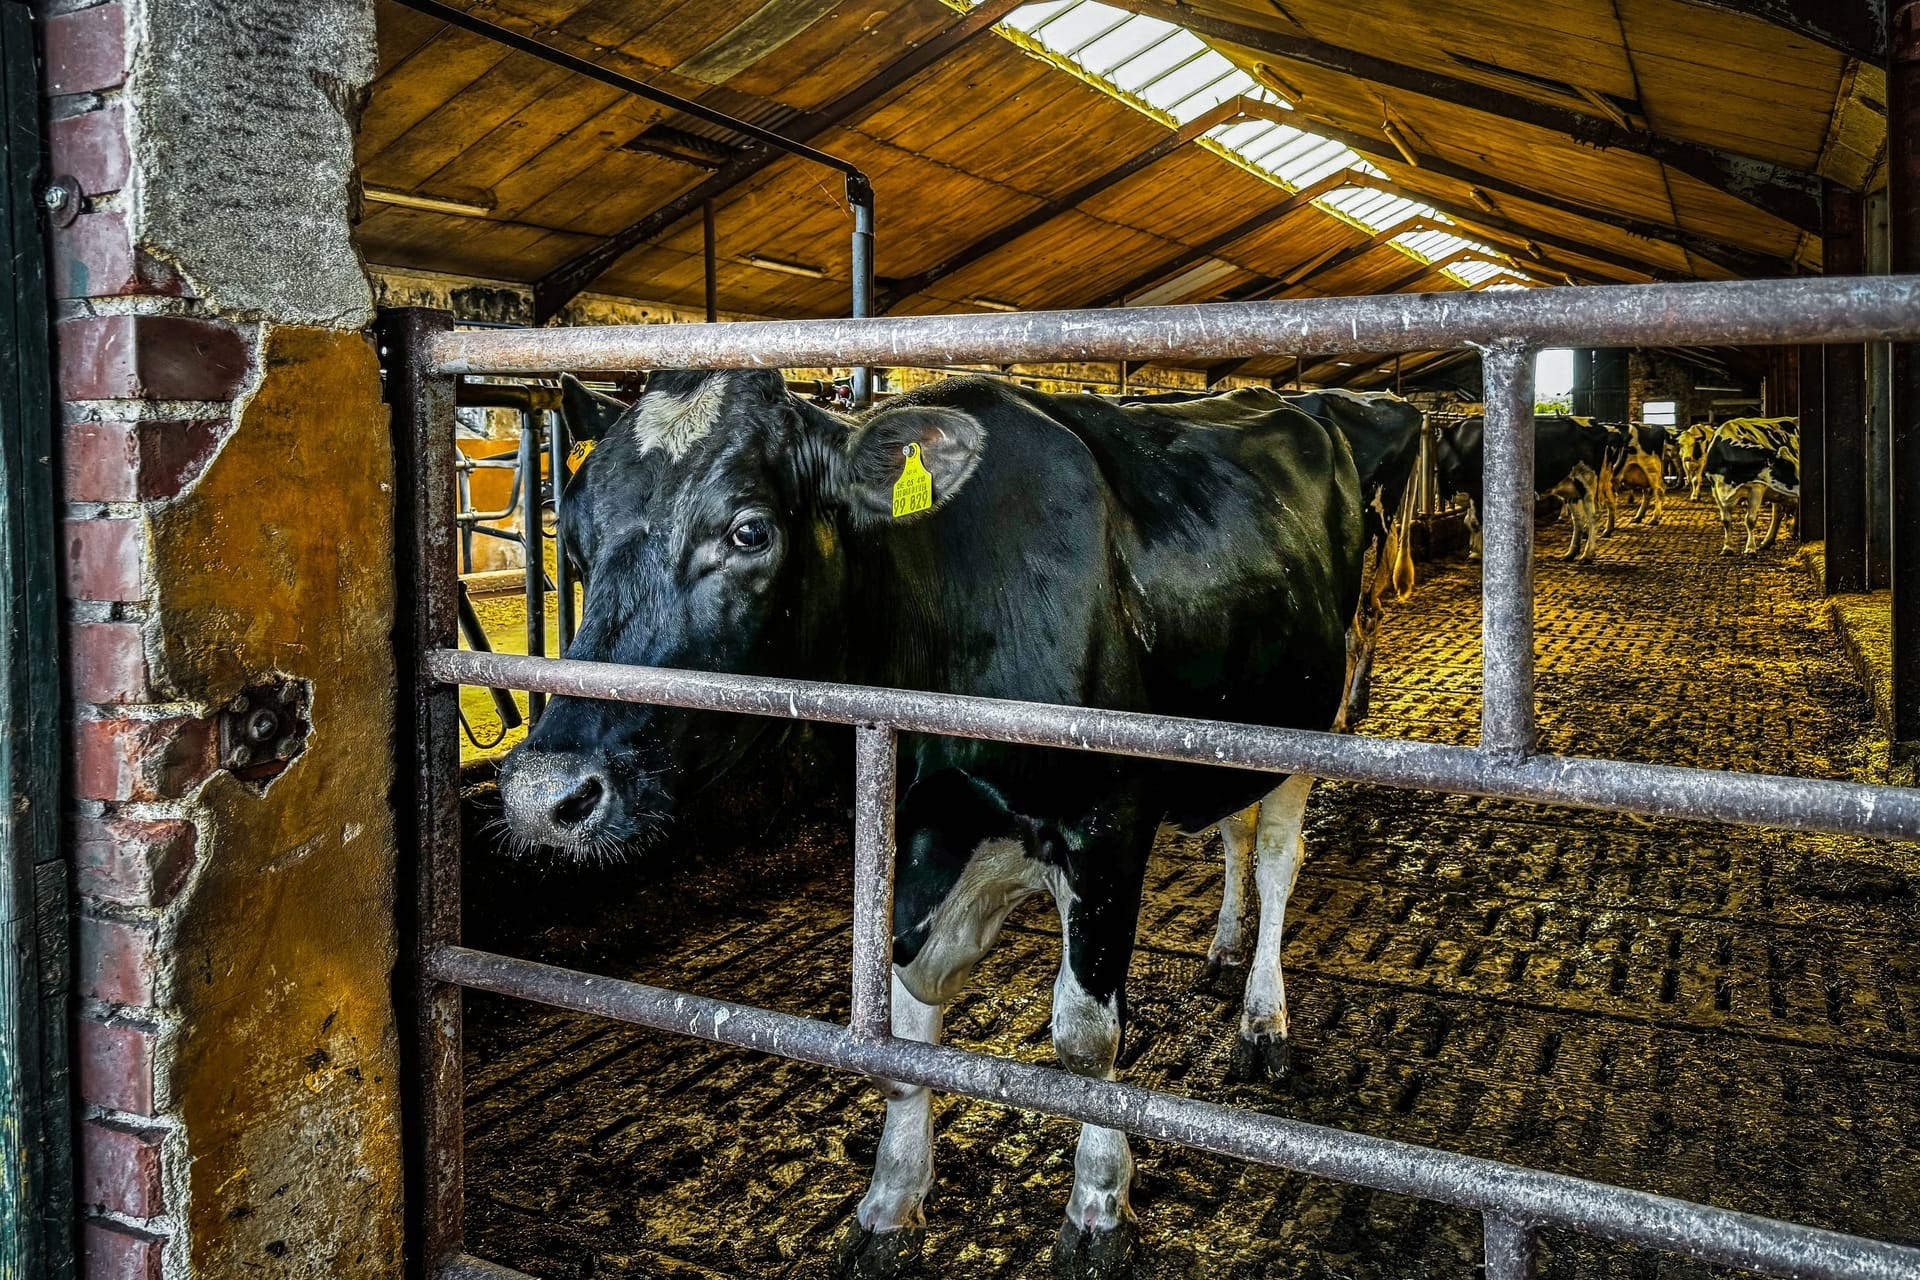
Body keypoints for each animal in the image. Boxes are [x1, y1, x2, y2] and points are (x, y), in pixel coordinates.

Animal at [495, 364, 1367, 1274]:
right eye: (575, 542)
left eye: (748, 531)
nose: (542, 793)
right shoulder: (907, 835)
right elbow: (905, 1032)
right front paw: (891, 1199)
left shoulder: (1109, 825)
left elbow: (1086, 1041)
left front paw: (1098, 1206)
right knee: (1235, 832)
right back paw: (1224, 948)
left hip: (1317, 718)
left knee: (1276, 856)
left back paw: (1262, 1018)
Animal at [1436, 418, 1612, 564]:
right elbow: (1469, 522)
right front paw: (1475, 551)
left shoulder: (1479, 492)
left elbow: (1476, 522)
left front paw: (1478, 553)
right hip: (1571, 487)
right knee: (1578, 519)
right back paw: (1571, 554)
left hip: (1587, 481)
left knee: (1593, 517)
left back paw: (1588, 555)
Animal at [1712, 418, 1797, 552]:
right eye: (1787, 467)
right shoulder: (1716, 490)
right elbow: (1725, 520)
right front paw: (1727, 547)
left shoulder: (1756, 488)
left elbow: (1750, 520)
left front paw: (1750, 548)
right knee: (1778, 513)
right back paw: (1768, 541)